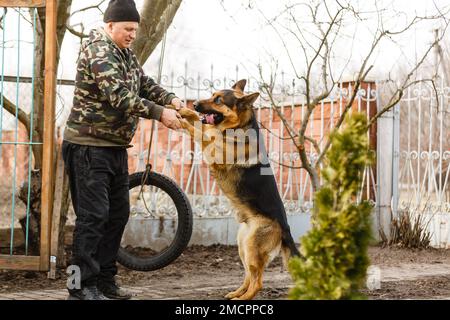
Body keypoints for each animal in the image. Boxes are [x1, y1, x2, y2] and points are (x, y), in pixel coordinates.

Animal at [172, 80, 298, 300]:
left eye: (219, 100)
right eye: (211, 95)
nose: (194, 103)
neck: (237, 126)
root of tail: (285, 228)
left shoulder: (212, 149)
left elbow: (199, 132)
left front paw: (182, 121)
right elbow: (199, 122)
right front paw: (183, 110)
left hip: (252, 248)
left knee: (258, 282)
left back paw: (244, 298)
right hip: (243, 247)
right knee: (249, 276)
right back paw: (236, 293)